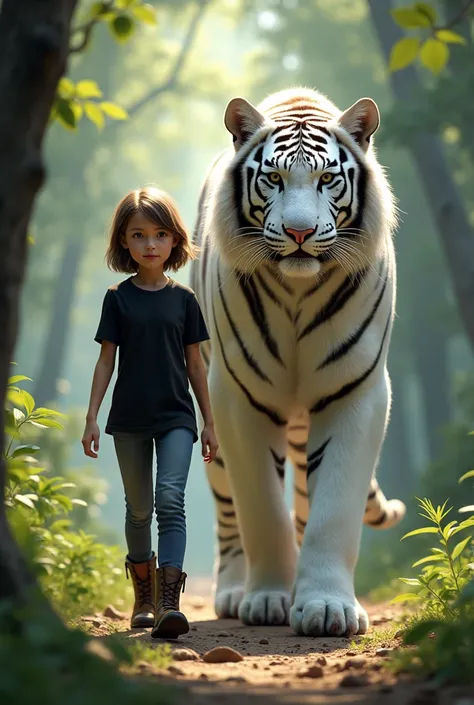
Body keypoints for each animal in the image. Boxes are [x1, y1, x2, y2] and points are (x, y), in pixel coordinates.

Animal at [191, 88, 406, 640]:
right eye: (274, 179)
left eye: (327, 179)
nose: (300, 232)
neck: (297, 288)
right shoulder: (238, 397)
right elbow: (261, 509)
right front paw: (266, 598)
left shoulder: (357, 392)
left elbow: (333, 510)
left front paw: (327, 607)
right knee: (229, 515)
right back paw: (233, 590)